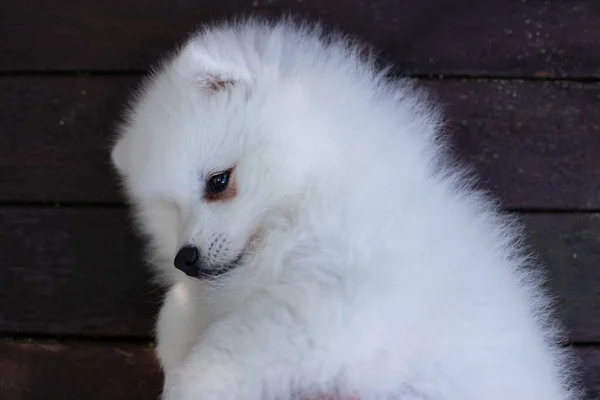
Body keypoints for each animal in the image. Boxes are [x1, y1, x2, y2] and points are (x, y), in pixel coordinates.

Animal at [110, 16, 584, 400]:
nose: (185, 258)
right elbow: (178, 315)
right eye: (169, 209)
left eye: (218, 182)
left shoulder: (344, 309)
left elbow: (227, 354)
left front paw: (188, 385)